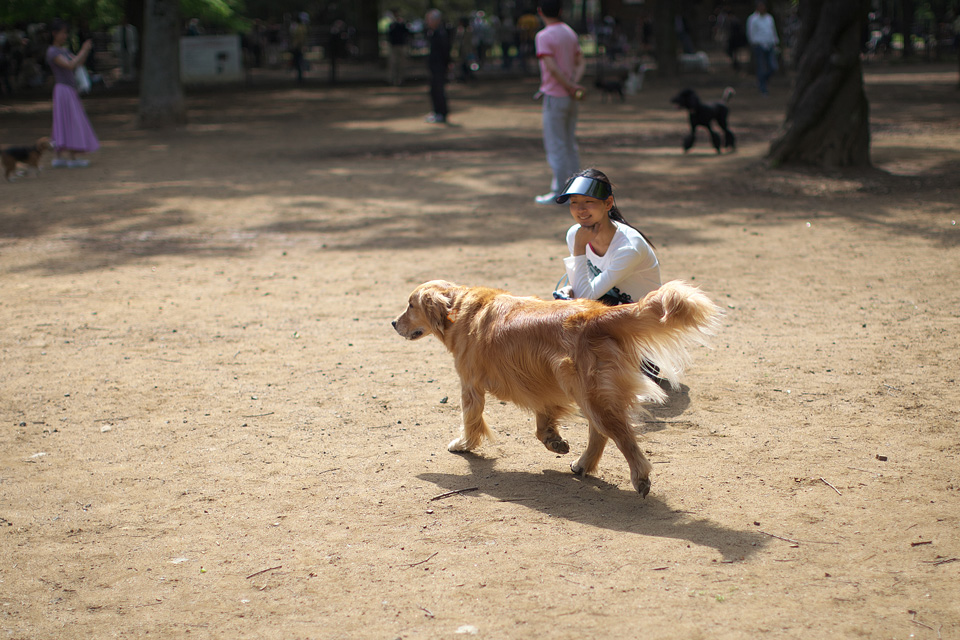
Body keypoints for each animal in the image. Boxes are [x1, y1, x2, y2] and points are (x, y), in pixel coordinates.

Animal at [392, 280, 721, 497]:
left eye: (410, 305)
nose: (394, 323)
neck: (459, 308)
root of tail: (597, 315)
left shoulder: (470, 385)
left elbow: (471, 419)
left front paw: (464, 444)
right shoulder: (540, 384)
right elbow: (542, 423)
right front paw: (555, 441)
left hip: (592, 395)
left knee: (622, 438)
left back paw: (640, 478)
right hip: (587, 393)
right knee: (601, 434)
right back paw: (582, 464)